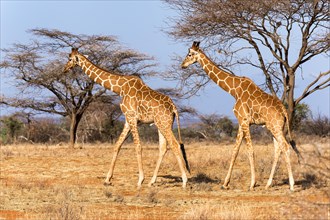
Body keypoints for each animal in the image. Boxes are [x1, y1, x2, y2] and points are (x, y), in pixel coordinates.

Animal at [63, 47, 189, 187]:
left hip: (164, 123)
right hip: (161, 124)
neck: (120, 88)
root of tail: (173, 107)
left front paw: (140, 180)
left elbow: (138, 146)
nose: (64, 69)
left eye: (70, 58)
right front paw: (107, 179)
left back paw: (184, 180)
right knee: (163, 147)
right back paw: (152, 181)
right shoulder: (128, 120)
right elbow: (117, 145)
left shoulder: (131, 117)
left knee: (175, 145)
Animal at [180, 41, 302, 191]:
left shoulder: (244, 120)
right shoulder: (240, 123)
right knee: (278, 149)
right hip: (276, 127)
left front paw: (252, 183)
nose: (183, 65)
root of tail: (284, 110)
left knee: (285, 146)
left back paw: (291, 185)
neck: (234, 90)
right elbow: (235, 150)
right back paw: (268, 184)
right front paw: (225, 183)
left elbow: (250, 150)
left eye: (189, 54)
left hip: (275, 127)